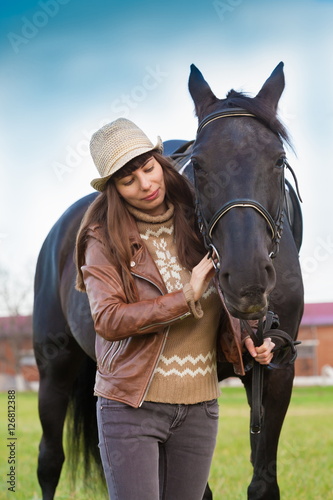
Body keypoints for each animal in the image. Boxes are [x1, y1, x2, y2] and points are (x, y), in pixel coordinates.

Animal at [33, 63, 304, 500]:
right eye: (200, 164)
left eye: (278, 160)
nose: (246, 279)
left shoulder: (275, 371)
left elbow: (263, 482)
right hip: (53, 369)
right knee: (49, 460)